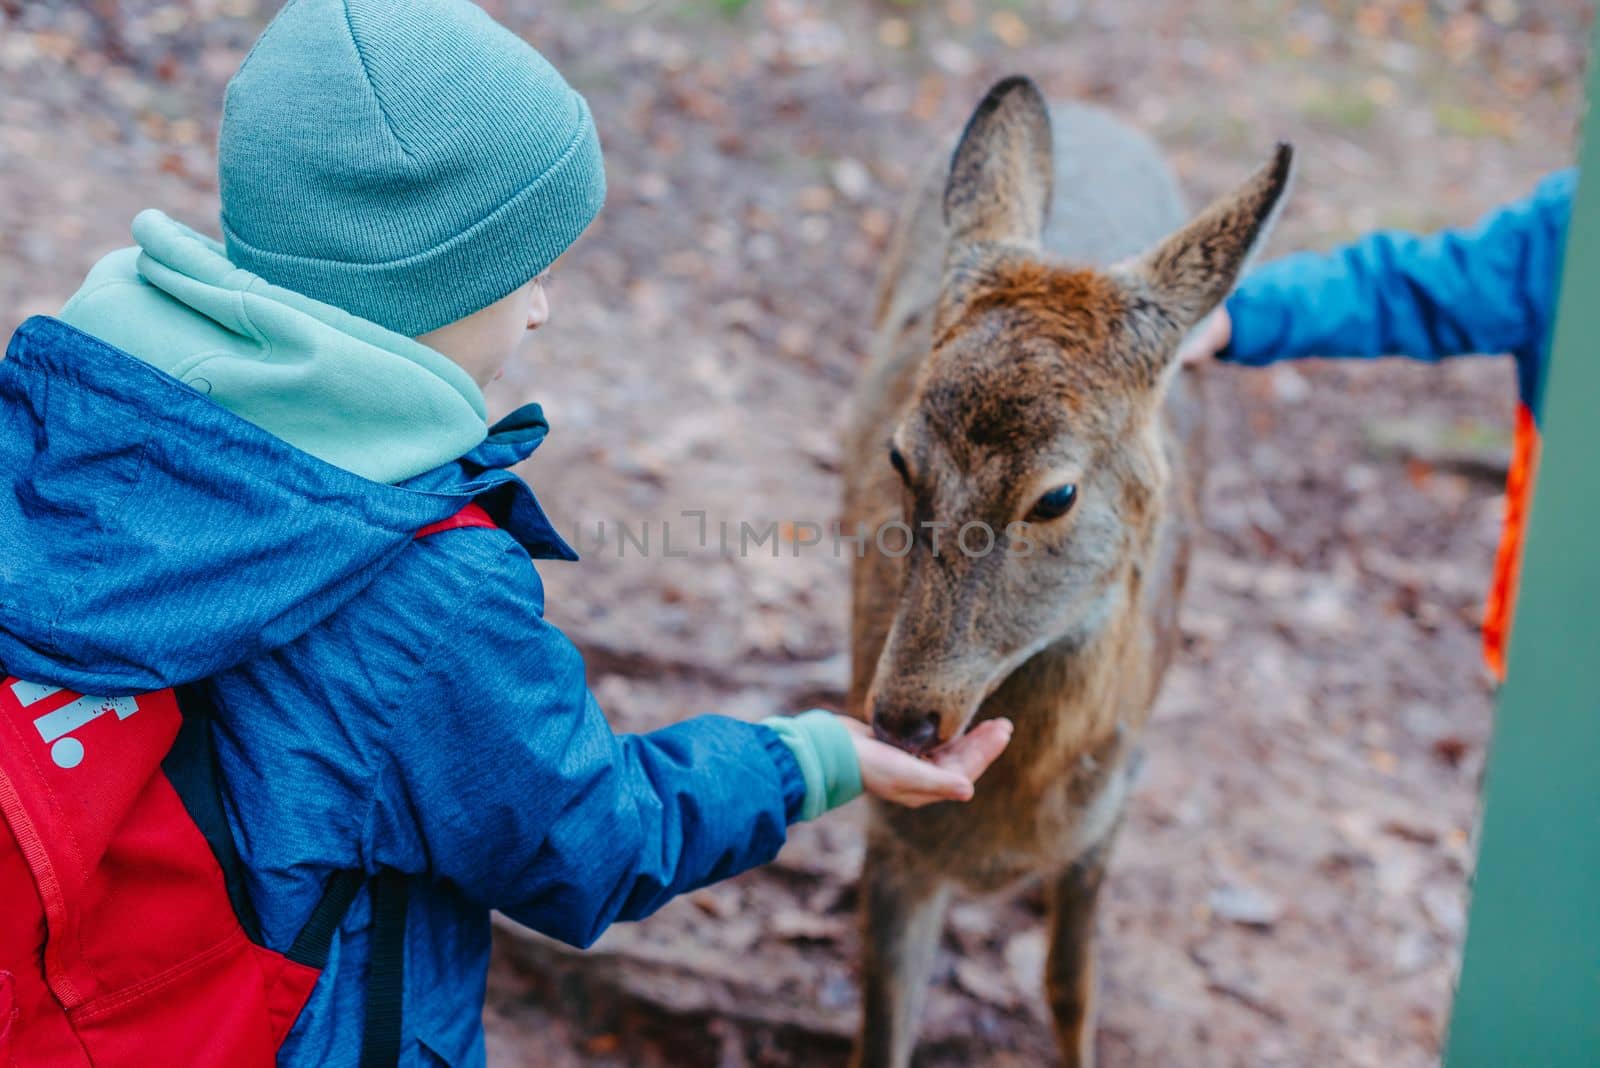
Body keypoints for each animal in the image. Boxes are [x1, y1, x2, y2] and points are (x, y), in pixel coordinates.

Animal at [844, 77, 1292, 1068]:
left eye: (1055, 494)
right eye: (898, 456)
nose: (904, 717)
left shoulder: (1115, 807)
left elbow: (1072, 986)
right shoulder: (893, 839)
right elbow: (883, 1026)